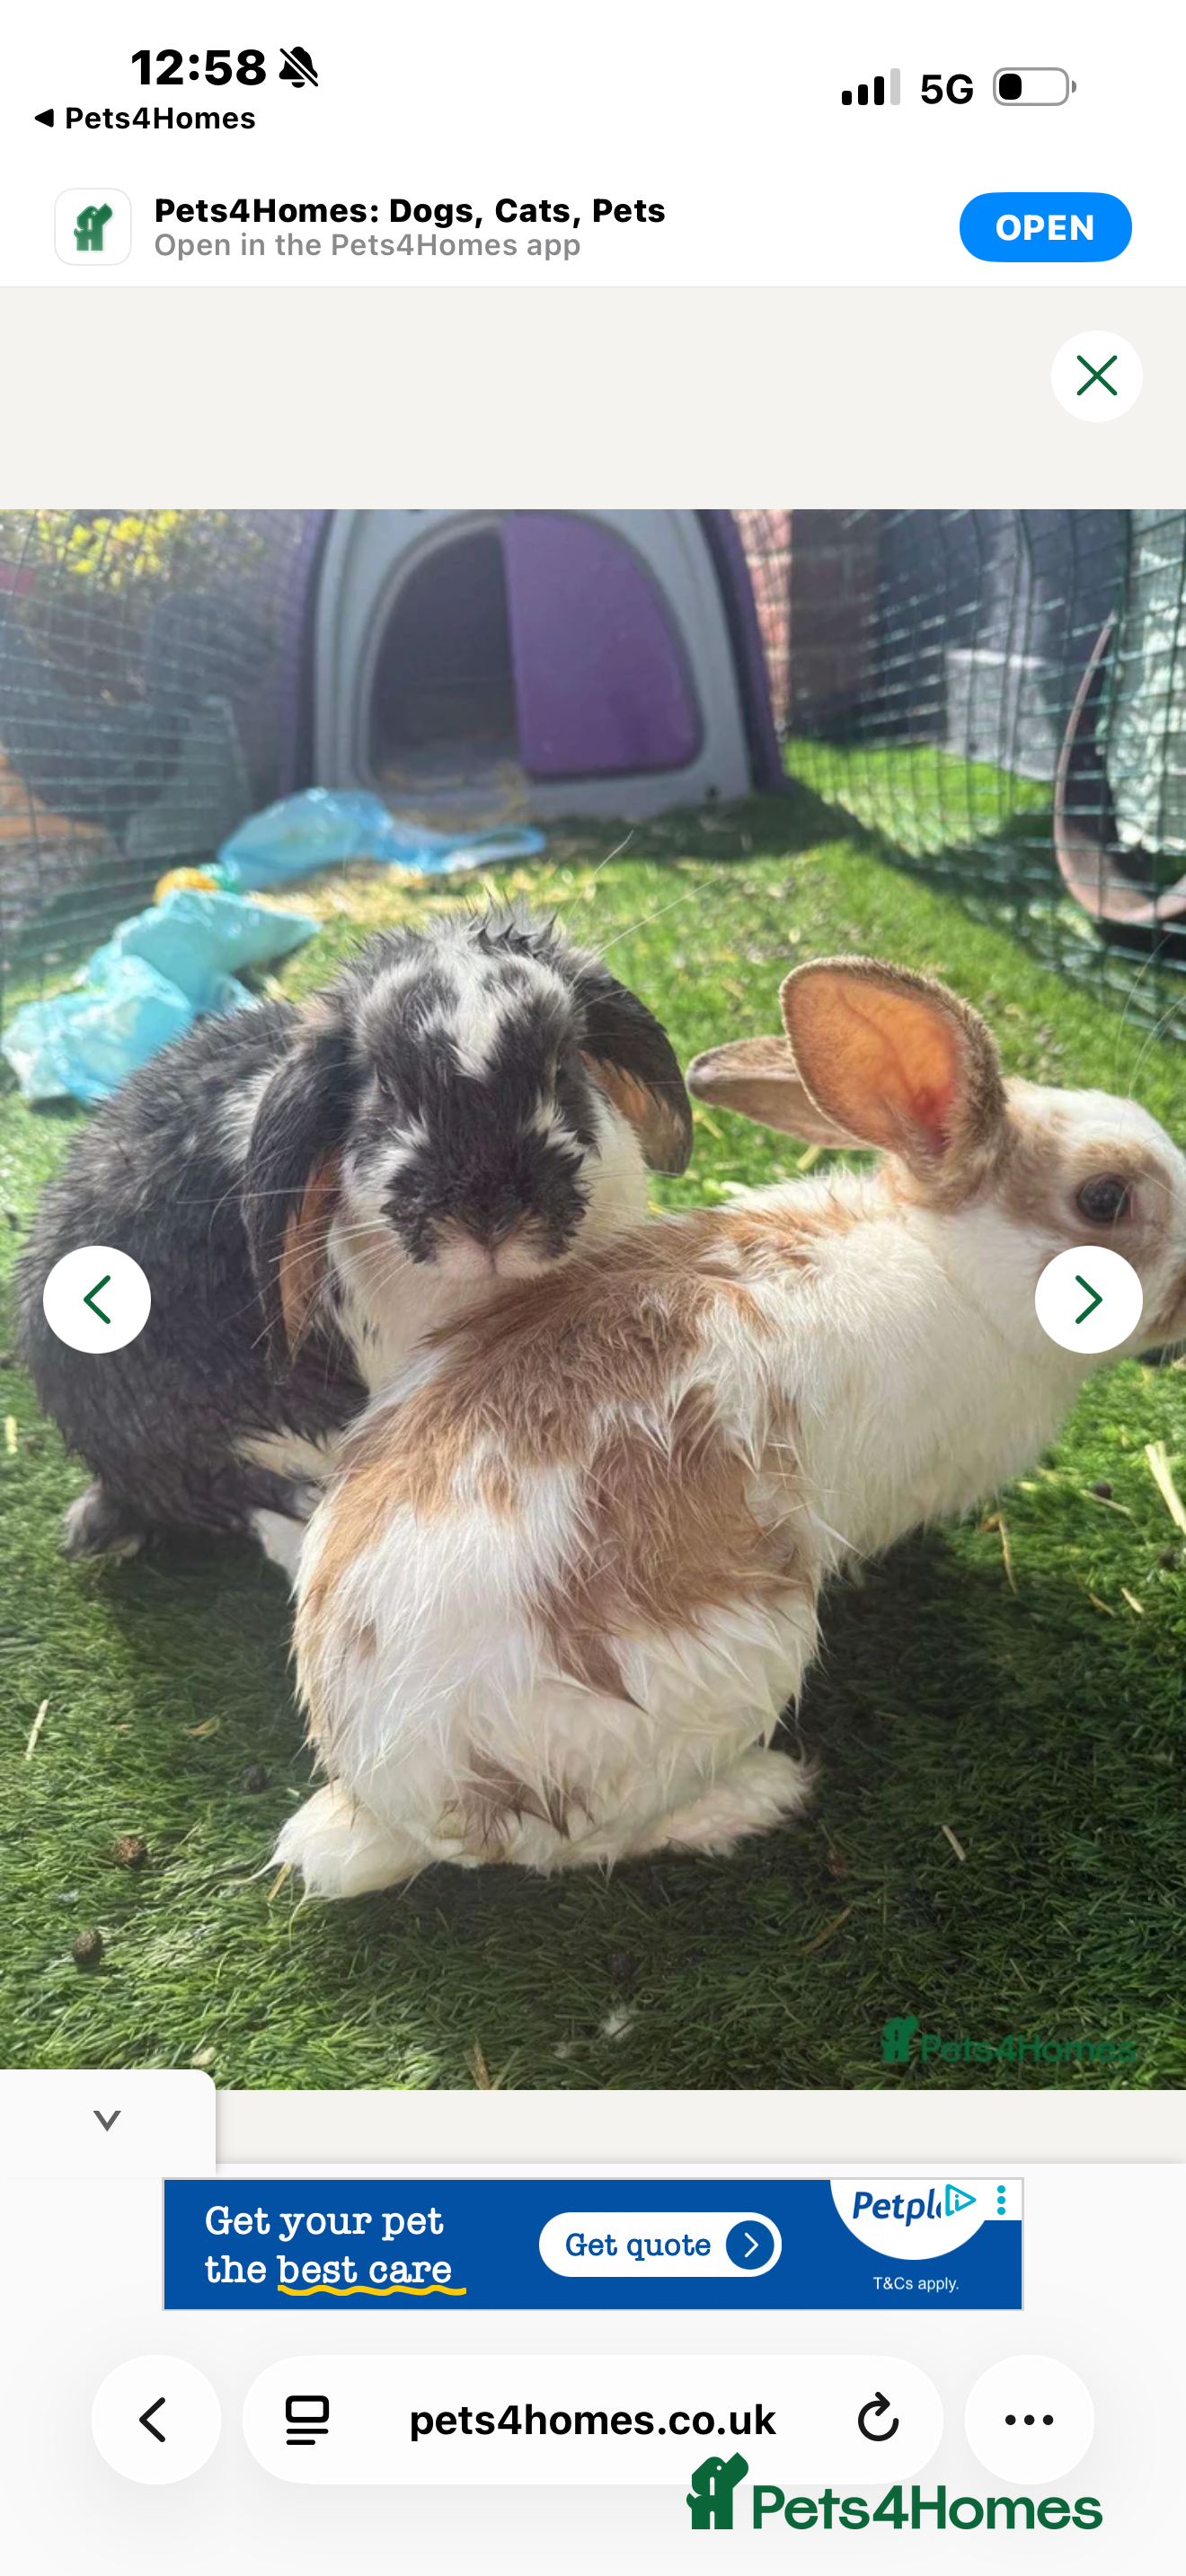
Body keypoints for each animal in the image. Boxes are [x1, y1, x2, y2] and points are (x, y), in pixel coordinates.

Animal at [272, 954, 1186, 1899]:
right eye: (1106, 1198)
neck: (953, 1263)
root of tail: (379, 1798)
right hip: (738, 1665)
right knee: (579, 1847)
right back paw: (754, 1798)